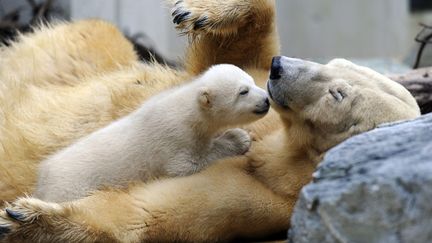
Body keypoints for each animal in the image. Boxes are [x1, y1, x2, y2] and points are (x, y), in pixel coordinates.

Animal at [0, 0, 418, 242]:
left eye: (338, 94)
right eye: (334, 64)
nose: (280, 69)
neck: (280, 153)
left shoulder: (258, 199)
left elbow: (141, 213)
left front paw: (25, 217)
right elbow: (231, 58)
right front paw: (199, 10)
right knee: (96, 33)